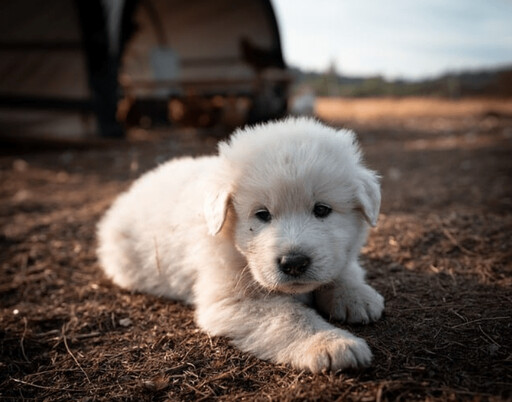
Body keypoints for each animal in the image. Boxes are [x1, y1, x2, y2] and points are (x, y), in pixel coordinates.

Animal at [97, 117, 384, 374]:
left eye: (322, 209)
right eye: (262, 214)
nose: (293, 263)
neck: (236, 249)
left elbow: (344, 268)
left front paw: (355, 295)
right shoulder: (231, 299)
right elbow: (290, 317)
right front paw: (332, 343)